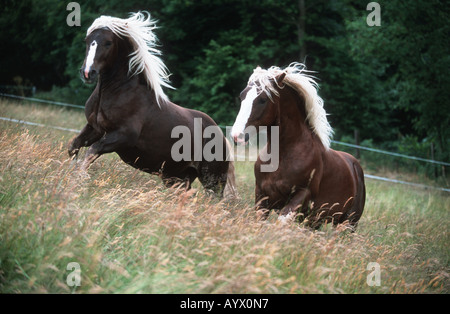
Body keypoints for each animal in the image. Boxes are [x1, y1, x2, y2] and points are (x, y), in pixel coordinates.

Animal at [68, 12, 237, 199]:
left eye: (108, 42)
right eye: (87, 40)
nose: (87, 73)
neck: (117, 92)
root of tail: (222, 137)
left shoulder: (123, 135)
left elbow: (91, 151)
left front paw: (79, 181)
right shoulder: (95, 128)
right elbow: (74, 147)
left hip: (212, 180)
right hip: (176, 178)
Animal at [232, 63, 366, 228]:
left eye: (263, 99)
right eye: (242, 96)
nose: (237, 135)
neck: (282, 155)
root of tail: (355, 166)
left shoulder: (302, 195)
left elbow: (282, 222)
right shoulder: (261, 195)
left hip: (348, 222)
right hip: (315, 222)